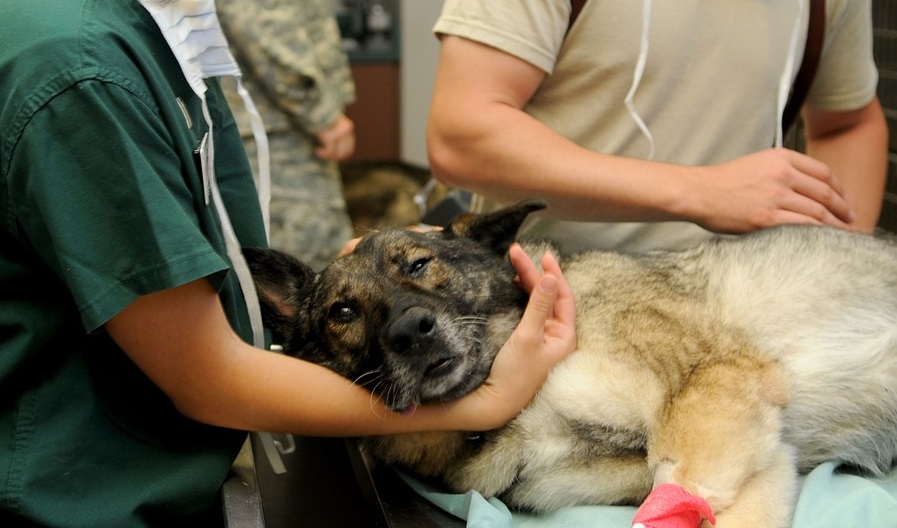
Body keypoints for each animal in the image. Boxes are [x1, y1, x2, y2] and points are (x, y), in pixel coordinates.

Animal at [243, 200, 896, 524]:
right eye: (343, 311)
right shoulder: (759, 453)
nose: (411, 331)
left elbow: (685, 485)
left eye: (420, 264)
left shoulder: (713, 386)